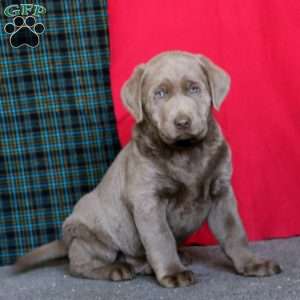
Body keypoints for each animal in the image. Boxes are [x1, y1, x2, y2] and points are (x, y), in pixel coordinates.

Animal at [14, 52, 282, 288]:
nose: (182, 122)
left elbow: (234, 232)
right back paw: (116, 269)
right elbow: (160, 238)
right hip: (91, 234)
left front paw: (252, 264)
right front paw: (173, 273)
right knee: (79, 265)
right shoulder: (148, 201)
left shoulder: (221, 193)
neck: (186, 152)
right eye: (160, 94)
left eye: (194, 89)